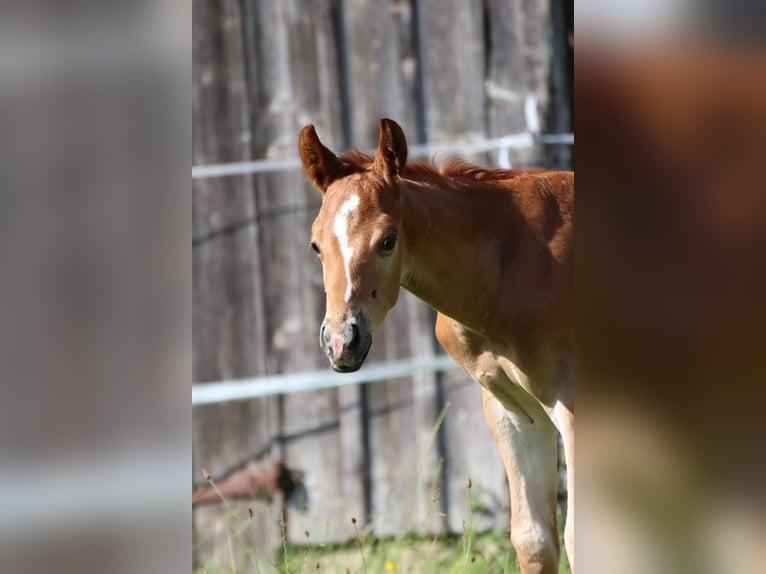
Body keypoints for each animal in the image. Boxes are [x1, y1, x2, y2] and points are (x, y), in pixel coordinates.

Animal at [300, 119, 576, 572]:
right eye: (315, 244)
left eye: (388, 240)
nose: (342, 342)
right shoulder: (516, 413)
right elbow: (534, 538)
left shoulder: (572, 407)